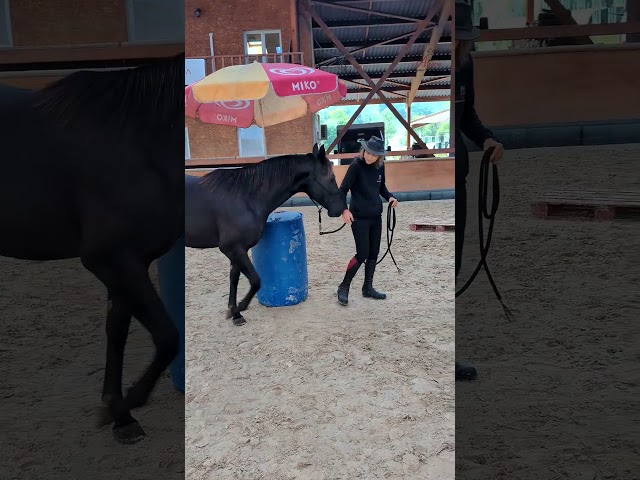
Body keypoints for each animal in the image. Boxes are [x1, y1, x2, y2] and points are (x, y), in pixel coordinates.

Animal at [0, 53, 184, 444]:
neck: (140, 141)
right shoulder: (112, 260)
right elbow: (167, 336)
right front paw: (127, 401)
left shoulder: (128, 264)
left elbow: (117, 331)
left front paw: (121, 415)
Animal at [185, 144, 346, 326]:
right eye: (331, 178)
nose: (340, 208)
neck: (244, 197)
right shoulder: (233, 248)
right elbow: (256, 281)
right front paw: (239, 308)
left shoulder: (237, 250)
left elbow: (234, 278)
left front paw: (235, 313)